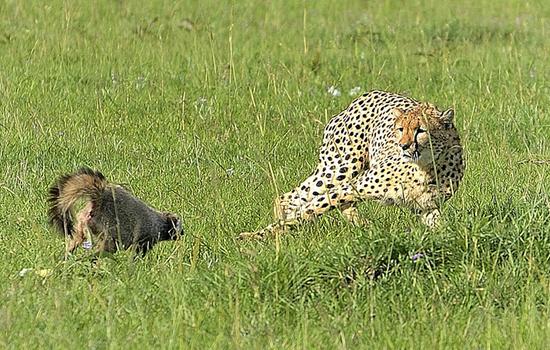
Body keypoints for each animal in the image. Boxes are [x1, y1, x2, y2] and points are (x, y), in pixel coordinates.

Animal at [242, 89, 466, 241]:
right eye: (400, 129)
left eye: (420, 130)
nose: (403, 146)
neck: (427, 168)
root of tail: (361, 97)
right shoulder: (353, 186)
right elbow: (310, 210)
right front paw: (254, 236)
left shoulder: (426, 208)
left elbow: (439, 226)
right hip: (340, 170)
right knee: (292, 197)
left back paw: (364, 225)